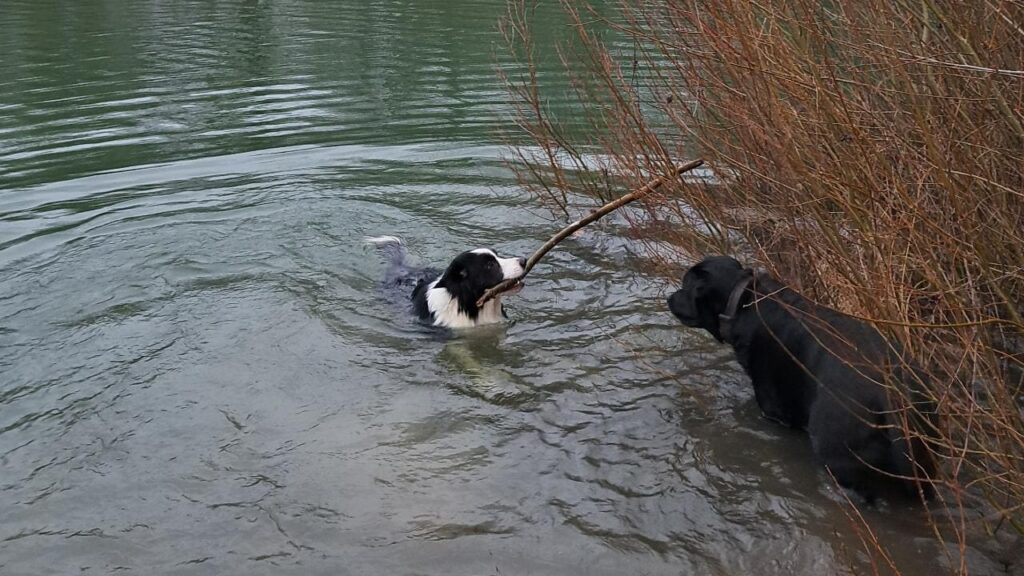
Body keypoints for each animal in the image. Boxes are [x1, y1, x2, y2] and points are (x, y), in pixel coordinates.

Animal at [663, 254, 937, 498]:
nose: (669, 297)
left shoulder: (772, 407)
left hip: (838, 455)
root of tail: (891, 397)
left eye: (685, 285)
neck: (745, 301)